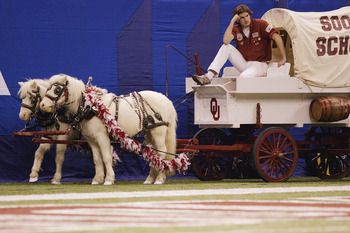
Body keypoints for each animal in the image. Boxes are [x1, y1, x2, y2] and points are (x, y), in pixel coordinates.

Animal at [39, 73, 178, 185]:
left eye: (57, 89)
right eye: (48, 88)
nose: (42, 105)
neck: (89, 107)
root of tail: (166, 100)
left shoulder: (102, 137)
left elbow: (106, 157)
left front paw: (109, 179)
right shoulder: (92, 139)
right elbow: (97, 159)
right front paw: (97, 179)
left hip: (158, 131)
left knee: (162, 153)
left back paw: (159, 179)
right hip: (150, 132)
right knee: (154, 155)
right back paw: (149, 179)